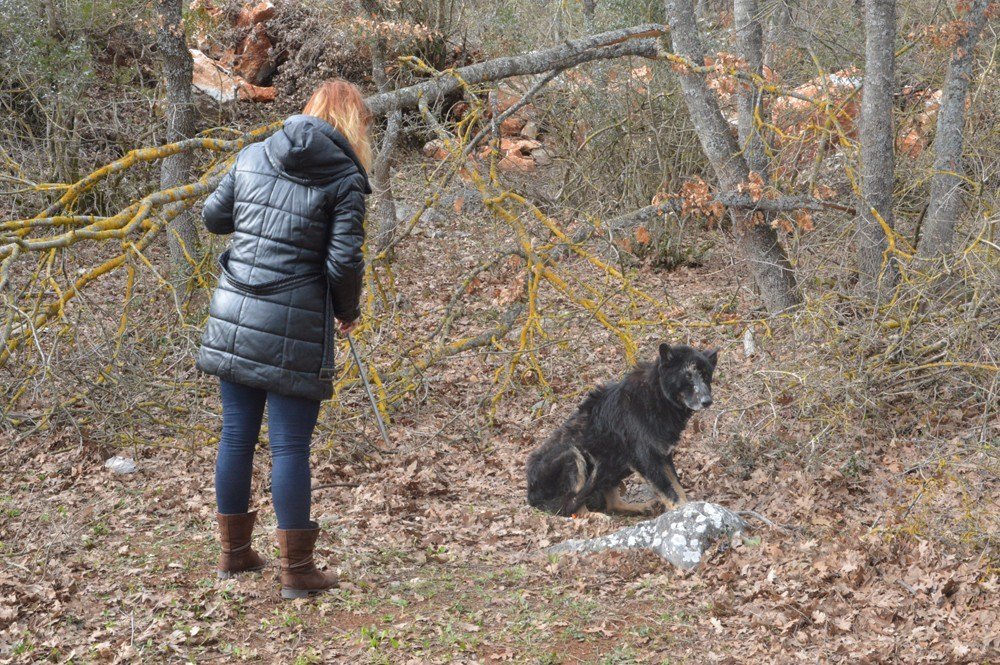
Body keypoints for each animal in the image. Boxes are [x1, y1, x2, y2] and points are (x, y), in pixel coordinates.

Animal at [528, 344, 716, 516]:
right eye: (688, 376)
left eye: (706, 376)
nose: (708, 401)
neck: (656, 397)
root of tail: (530, 498)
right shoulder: (646, 460)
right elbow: (669, 492)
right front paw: (682, 511)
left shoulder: (664, 456)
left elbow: (677, 486)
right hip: (573, 454)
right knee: (572, 507)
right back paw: (596, 518)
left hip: (612, 468)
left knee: (612, 504)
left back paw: (640, 507)